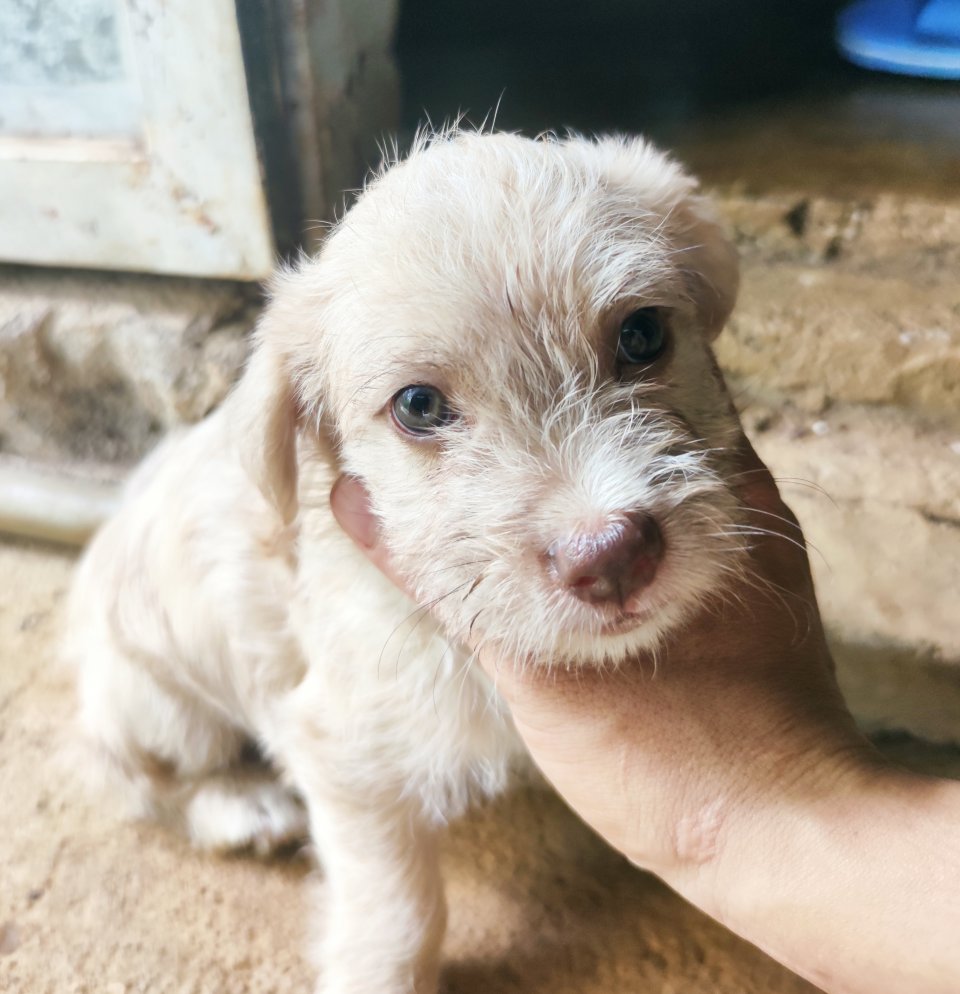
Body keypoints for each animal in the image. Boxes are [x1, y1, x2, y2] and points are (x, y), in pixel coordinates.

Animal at [67, 129, 744, 993]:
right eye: (418, 407)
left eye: (642, 335)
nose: (611, 555)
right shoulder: (346, 750)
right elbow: (396, 904)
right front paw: (376, 974)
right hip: (159, 702)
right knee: (135, 780)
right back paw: (241, 807)